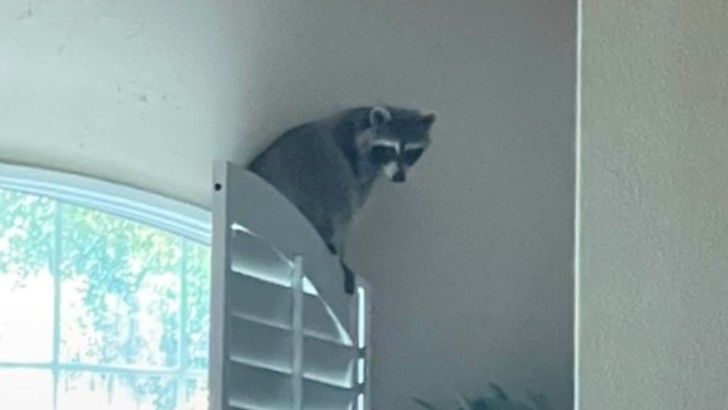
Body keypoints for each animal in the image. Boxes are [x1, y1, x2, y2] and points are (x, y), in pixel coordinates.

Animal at [247, 105, 436, 292]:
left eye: (412, 152)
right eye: (390, 149)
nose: (399, 177)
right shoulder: (356, 157)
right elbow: (353, 192)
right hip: (315, 174)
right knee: (342, 197)